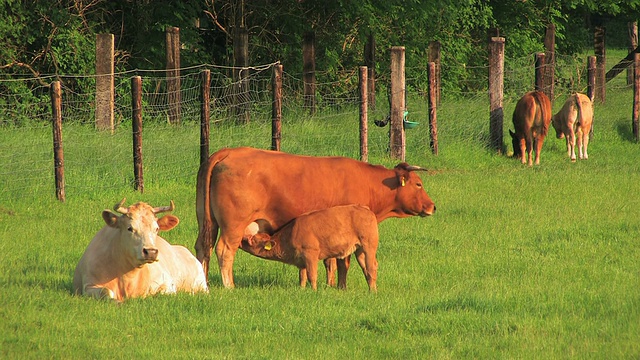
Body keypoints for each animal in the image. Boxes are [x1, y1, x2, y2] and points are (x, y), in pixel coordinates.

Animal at [73, 198, 208, 302]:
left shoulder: (168, 284)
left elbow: (160, 293)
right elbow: (106, 292)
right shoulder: (88, 286)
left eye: (156, 228)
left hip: (202, 285)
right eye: (130, 228)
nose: (151, 252)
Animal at [240, 204, 380, 292]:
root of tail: (365, 209)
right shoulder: (301, 260)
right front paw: (302, 289)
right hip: (359, 250)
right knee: (366, 267)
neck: (291, 234)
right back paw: (371, 287)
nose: (241, 241)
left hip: (369, 246)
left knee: (371, 267)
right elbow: (302, 276)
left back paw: (372, 291)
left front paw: (313, 290)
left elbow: (312, 275)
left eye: (253, 239)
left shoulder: (310, 254)